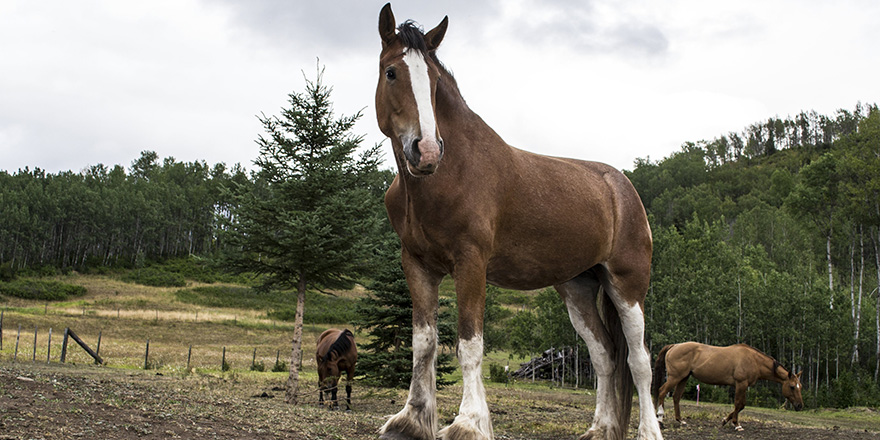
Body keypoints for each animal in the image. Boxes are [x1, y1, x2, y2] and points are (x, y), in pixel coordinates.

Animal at [376, 4, 660, 440]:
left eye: (435, 81)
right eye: (392, 72)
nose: (425, 150)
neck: (449, 173)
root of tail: (623, 188)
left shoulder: (471, 263)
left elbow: (469, 344)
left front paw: (468, 423)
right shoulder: (417, 264)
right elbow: (424, 342)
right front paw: (411, 420)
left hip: (628, 285)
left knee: (639, 360)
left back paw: (647, 430)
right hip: (578, 289)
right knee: (605, 356)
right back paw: (600, 428)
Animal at [648, 342, 800, 432]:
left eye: (800, 386)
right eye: (792, 386)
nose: (800, 406)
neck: (754, 360)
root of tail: (674, 346)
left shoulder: (743, 386)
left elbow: (741, 405)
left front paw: (725, 421)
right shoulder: (741, 384)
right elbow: (738, 404)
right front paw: (736, 424)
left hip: (683, 378)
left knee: (676, 397)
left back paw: (681, 421)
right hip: (675, 377)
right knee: (662, 392)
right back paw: (660, 420)